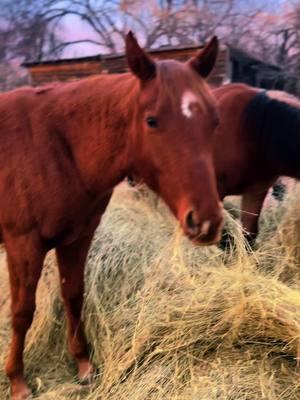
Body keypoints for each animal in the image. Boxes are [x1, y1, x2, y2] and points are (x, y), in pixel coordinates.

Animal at [1, 32, 223, 400]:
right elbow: (22, 312)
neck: (57, 147)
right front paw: (17, 380)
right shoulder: (23, 245)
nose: (205, 221)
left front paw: (83, 364)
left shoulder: (77, 237)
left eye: (214, 121)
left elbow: (74, 295)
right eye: (152, 120)